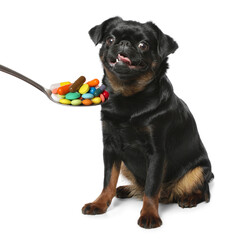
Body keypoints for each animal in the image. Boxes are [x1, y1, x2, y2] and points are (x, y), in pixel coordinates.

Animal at [81, 17, 214, 229]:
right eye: (110, 39)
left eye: (143, 45)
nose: (124, 43)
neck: (128, 98)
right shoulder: (110, 147)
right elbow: (108, 180)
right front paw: (99, 204)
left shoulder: (156, 153)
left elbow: (152, 188)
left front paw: (150, 215)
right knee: (140, 187)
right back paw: (127, 190)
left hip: (200, 169)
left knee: (202, 190)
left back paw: (189, 198)